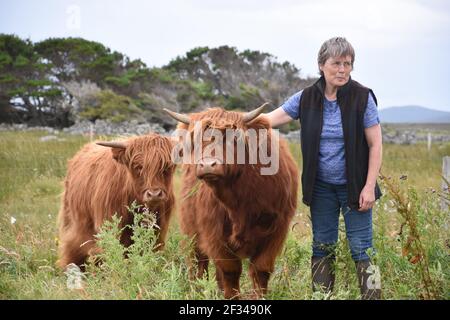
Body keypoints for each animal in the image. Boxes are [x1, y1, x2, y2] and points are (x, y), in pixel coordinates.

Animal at [164, 105, 298, 298]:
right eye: (196, 141)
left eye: (233, 139)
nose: (207, 165)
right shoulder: (214, 234)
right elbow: (230, 270)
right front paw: (232, 296)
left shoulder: (276, 230)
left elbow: (261, 269)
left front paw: (259, 296)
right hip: (191, 232)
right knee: (198, 264)